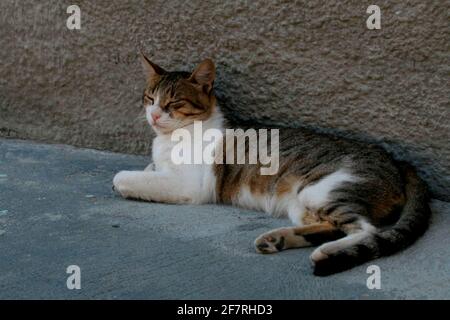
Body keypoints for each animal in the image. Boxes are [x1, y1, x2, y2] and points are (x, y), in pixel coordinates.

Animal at [111, 53, 428, 276]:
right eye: (150, 98)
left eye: (174, 103)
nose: (153, 115)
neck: (171, 138)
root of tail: (396, 161)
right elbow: (151, 169)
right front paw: (150, 167)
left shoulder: (190, 186)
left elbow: (125, 177)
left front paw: (123, 180)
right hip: (302, 204)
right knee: (332, 227)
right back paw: (276, 240)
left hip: (323, 190)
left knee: (366, 230)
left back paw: (326, 253)